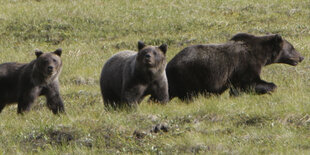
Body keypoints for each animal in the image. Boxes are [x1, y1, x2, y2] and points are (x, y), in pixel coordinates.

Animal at [166, 32, 304, 100]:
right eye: (292, 47)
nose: (301, 57)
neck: (260, 55)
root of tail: (169, 64)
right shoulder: (244, 63)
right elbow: (249, 82)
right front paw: (270, 88)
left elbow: (237, 87)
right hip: (190, 75)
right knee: (189, 94)